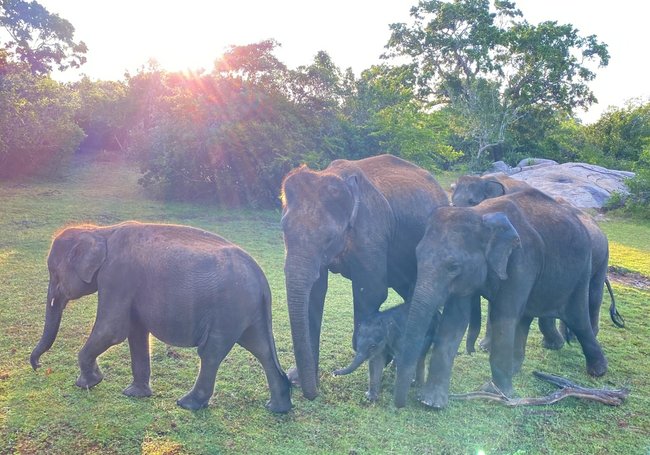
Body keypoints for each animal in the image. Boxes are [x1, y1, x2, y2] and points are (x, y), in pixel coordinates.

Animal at [30, 222, 292, 414]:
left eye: (54, 274)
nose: (37, 366)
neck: (101, 231)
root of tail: (262, 279)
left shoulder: (117, 276)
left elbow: (112, 330)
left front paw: (87, 383)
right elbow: (135, 333)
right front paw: (134, 394)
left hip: (229, 307)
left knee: (211, 352)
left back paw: (187, 404)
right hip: (246, 311)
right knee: (261, 349)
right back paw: (278, 408)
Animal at [280, 154, 448, 400]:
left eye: (329, 237)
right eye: (283, 230)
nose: (312, 394)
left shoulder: (371, 234)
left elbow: (371, 292)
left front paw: (376, 356)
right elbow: (315, 294)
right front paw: (299, 379)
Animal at [392, 189, 612, 410]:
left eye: (453, 266)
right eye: (417, 256)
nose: (400, 405)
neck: (481, 215)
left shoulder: (522, 261)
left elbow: (503, 316)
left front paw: (499, 393)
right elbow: (454, 320)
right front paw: (431, 403)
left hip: (581, 271)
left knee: (577, 317)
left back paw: (598, 371)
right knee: (526, 317)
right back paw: (515, 368)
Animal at [450, 175, 624, 352]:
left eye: (472, 202)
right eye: (453, 204)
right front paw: (485, 347)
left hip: (602, 258)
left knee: (594, 295)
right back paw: (569, 337)